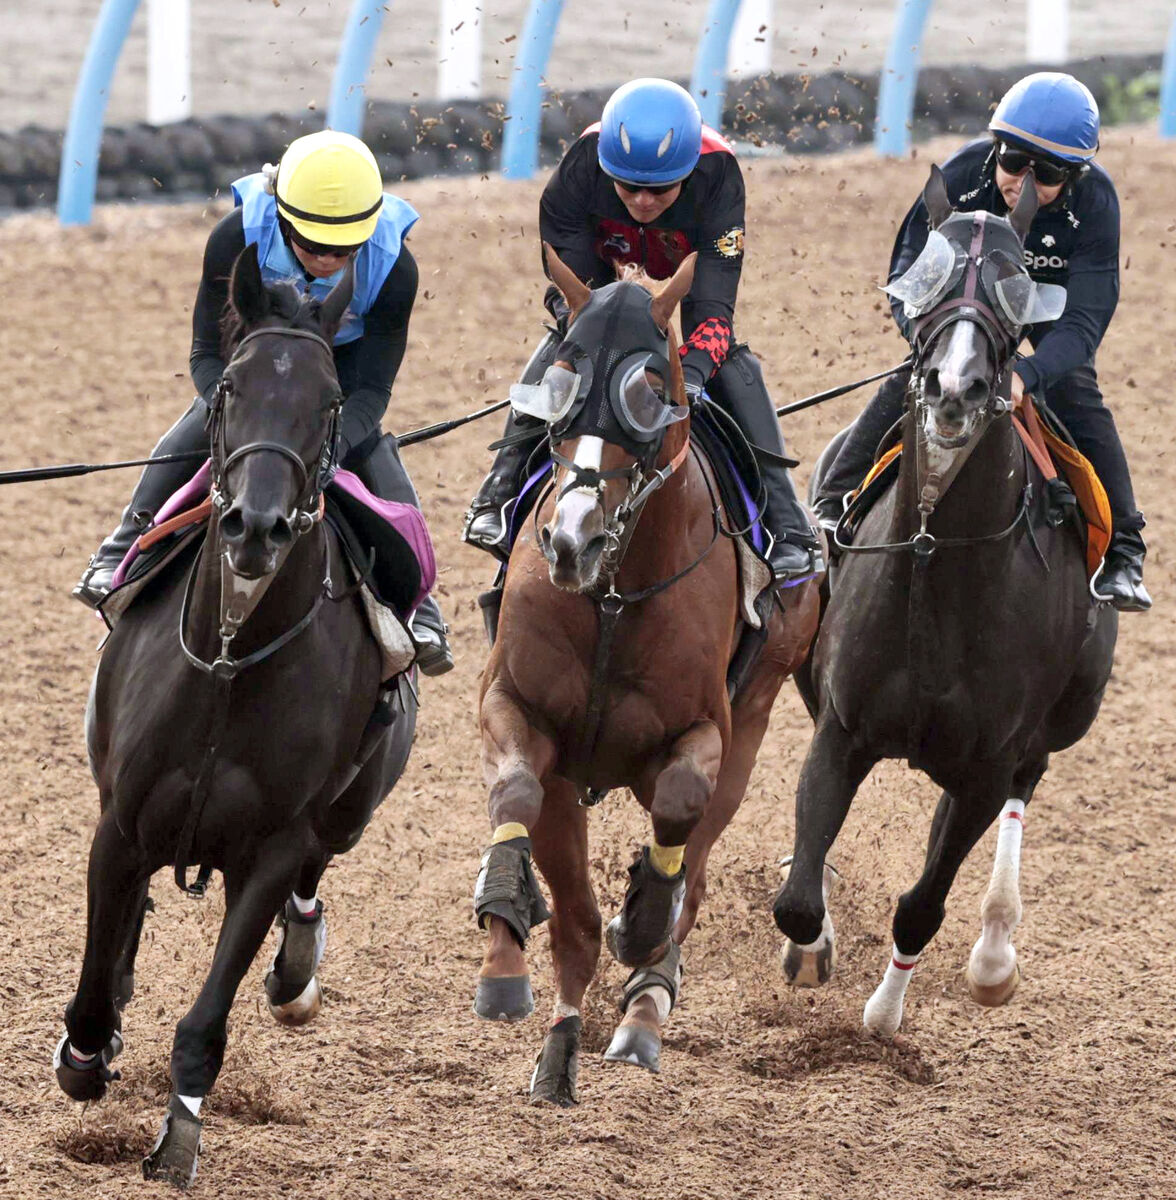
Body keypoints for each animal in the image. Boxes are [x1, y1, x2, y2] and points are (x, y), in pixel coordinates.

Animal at [57, 246, 422, 1190]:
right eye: (231, 388)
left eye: (329, 402)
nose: (256, 527)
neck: (230, 661)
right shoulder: (120, 822)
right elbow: (92, 983)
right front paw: (87, 1052)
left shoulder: (271, 849)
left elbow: (206, 1021)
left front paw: (178, 1137)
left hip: (350, 808)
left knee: (316, 878)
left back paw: (295, 971)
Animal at [468, 248, 816, 1099]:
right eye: (561, 377)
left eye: (652, 388)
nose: (571, 537)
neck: (614, 594)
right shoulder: (520, 710)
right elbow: (519, 801)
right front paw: (504, 949)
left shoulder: (707, 730)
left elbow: (681, 811)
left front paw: (643, 921)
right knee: (574, 918)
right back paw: (556, 1038)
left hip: (755, 719)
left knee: (694, 867)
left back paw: (642, 1014)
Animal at [777, 164, 1118, 1036]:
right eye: (929, 274)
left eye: (1016, 280)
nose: (955, 386)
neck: (937, 561)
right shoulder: (843, 725)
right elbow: (798, 897)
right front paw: (811, 943)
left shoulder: (986, 767)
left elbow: (922, 906)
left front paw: (883, 1016)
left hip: (1055, 725)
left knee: (1024, 790)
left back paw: (995, 952)